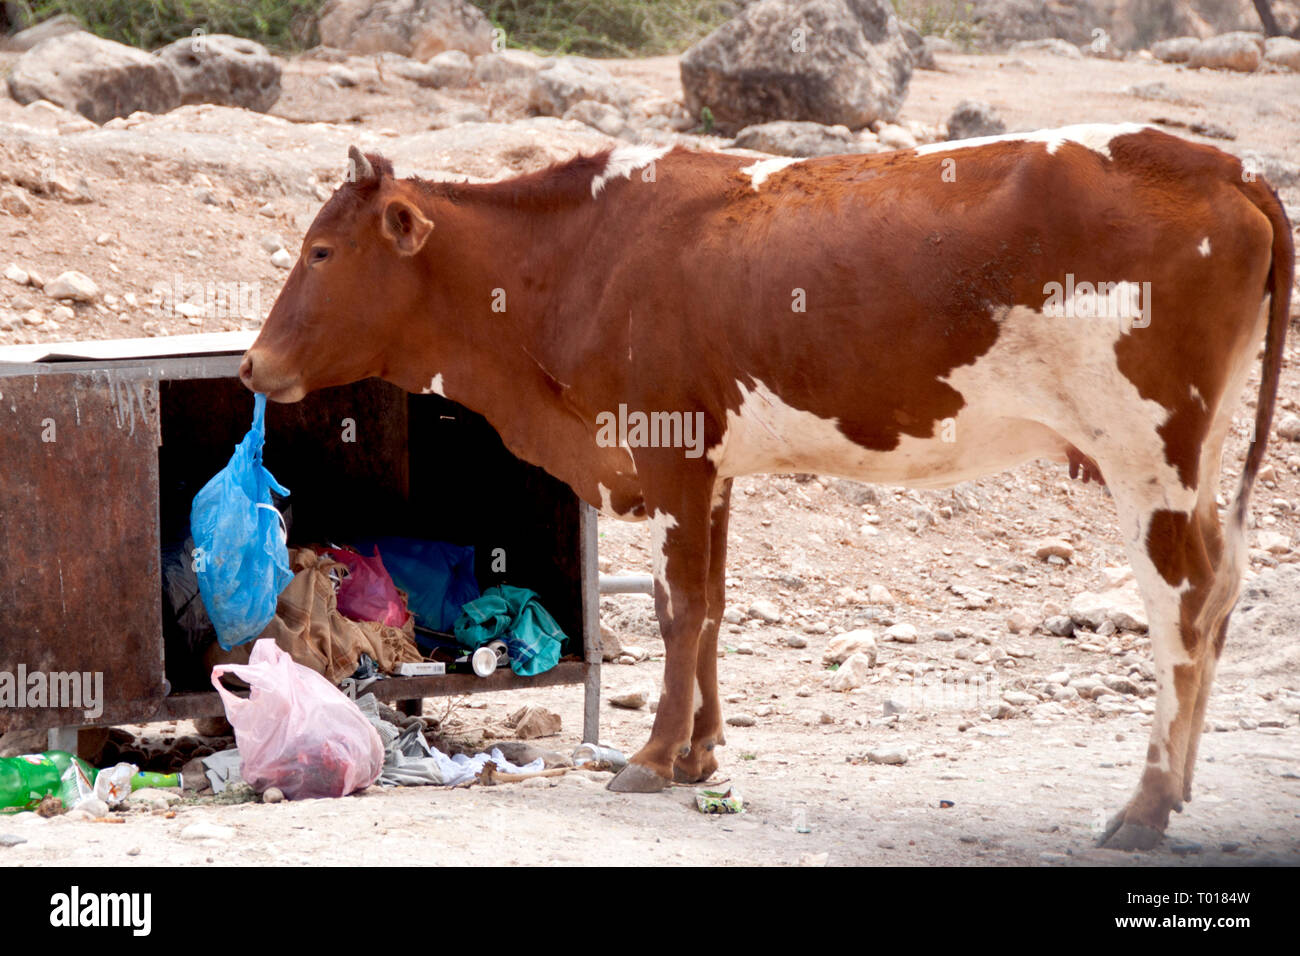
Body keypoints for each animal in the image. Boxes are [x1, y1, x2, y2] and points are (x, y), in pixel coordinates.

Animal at [241, 128, 1289, 853]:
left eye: (323, 252)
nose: (251, 364)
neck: (581, 261)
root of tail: (1219, 163)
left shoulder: (668, 454)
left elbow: (679, 608)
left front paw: (651, 758)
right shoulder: (711, 467)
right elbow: (705, 607)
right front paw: (699, 753)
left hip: (1147, 454)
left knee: (1184, 606)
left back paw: (1144, 807)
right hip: (1194, 464)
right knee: (1220, 595)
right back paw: (1172, 794)